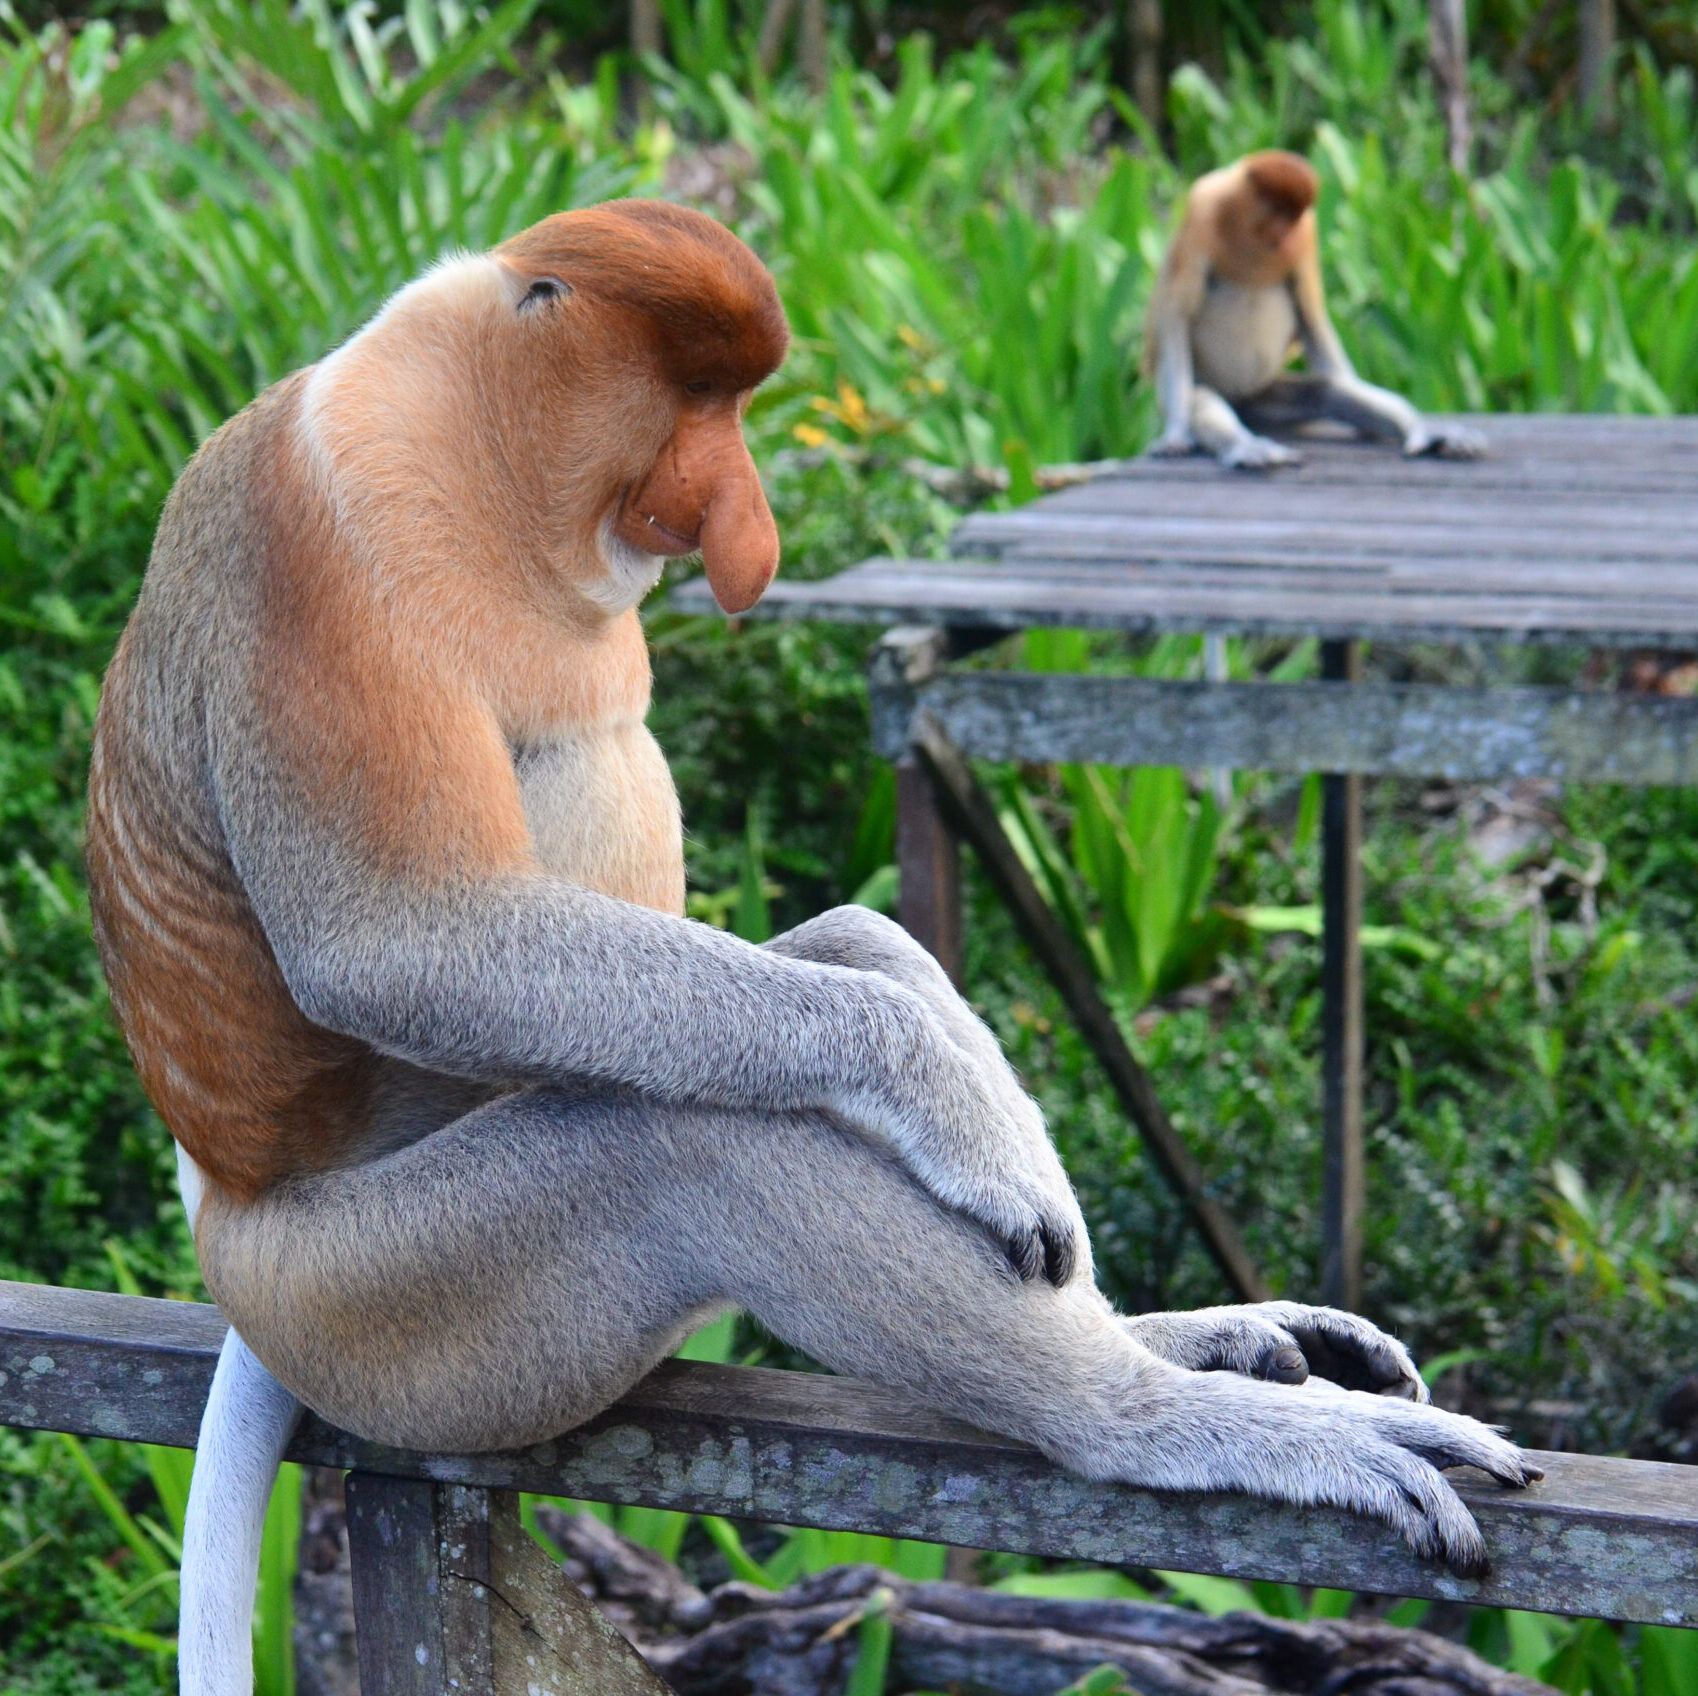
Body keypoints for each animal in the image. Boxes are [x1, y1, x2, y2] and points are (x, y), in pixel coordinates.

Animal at [83, 200, 1534, 1695]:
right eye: (693, 403)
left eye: (730, 406)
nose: (741, 517)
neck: (472, 439)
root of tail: (231, 1219)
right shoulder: (315, 538)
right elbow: (396, 944)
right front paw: (960, 1112)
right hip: (391, 1307)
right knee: (681, 1143)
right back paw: (1157, 1414)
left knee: (842, 943)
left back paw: (1180, 1335)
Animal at [1143, 151, 1486, 469]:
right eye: (1278, 212)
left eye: (1295, 217)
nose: (1285, 239)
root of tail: (1241, 399)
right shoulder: (1200, 219)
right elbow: (1175, 320)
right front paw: (1175, 436)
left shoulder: (1307, 235)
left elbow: (1311, 318)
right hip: (1210, 388)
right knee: (1202, 400)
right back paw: (1249, 448)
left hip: (1263, 394)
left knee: (1329, 389)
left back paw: (1424, 431)